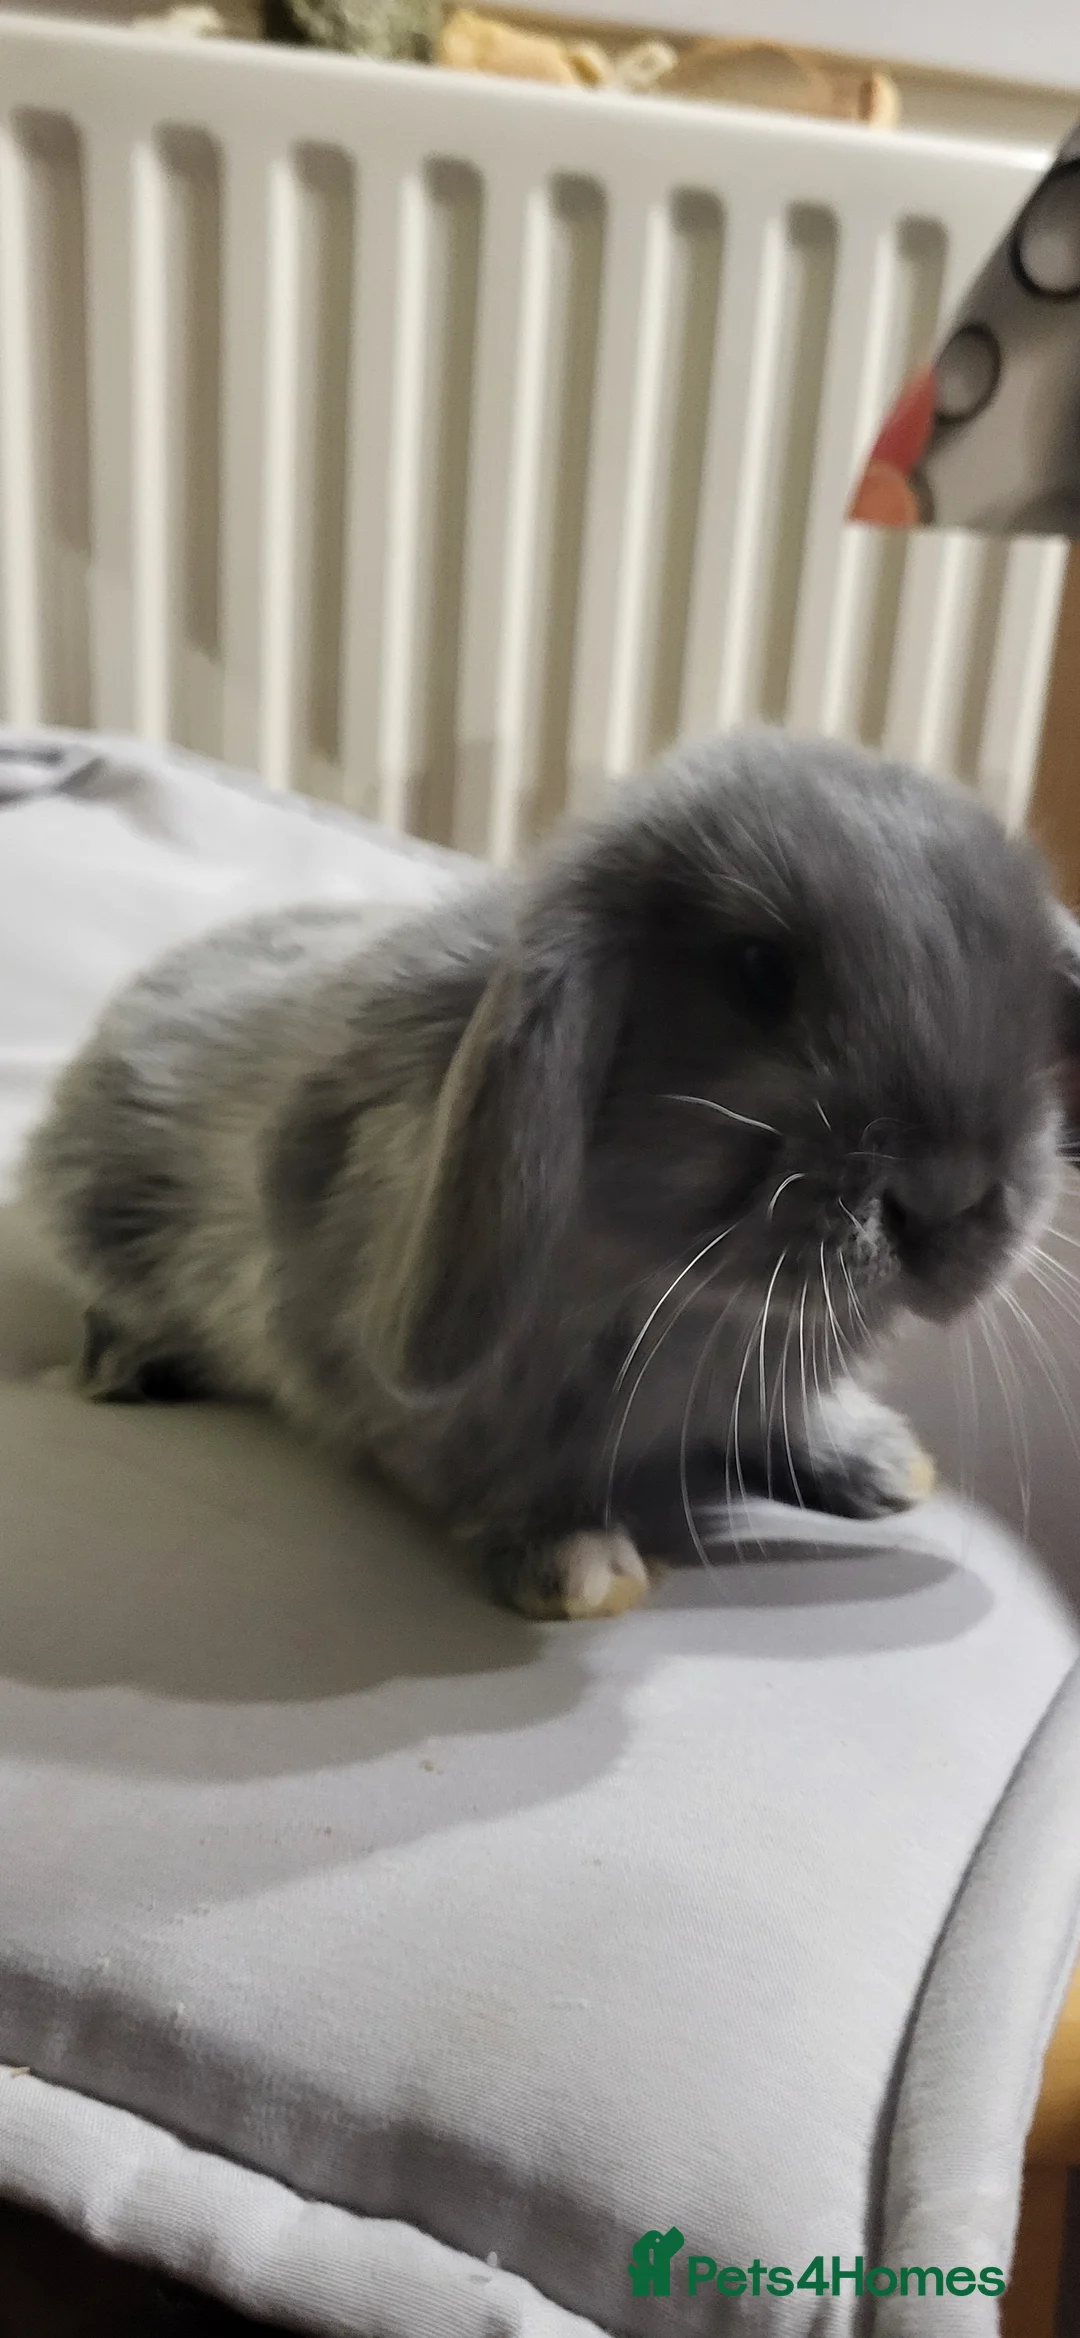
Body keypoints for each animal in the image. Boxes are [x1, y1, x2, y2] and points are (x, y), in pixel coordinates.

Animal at [21, 730, 1080, 1619]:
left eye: (1035, 1007)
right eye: (757, 971)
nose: (948, 1198)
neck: (701, 1305)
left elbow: (790, 1417)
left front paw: (885, 1468)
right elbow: (496, 1477)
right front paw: (583, 1574)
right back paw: (129, 1366)